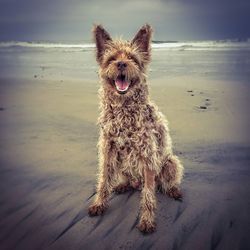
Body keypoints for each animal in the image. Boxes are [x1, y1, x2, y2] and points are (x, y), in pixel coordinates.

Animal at [88, 24, 184, 233]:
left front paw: (147, 220)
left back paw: (173, 190)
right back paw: (124, 184)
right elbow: (104, 180)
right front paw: (99, 203)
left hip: (170, 162)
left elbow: (148, 194)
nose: (122, 64)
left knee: (165, 182)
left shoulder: (148, 157)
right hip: (123, 164)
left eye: (132, 58)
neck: (124, 110)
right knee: (129, 180)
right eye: (112, 59)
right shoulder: (108, 150)